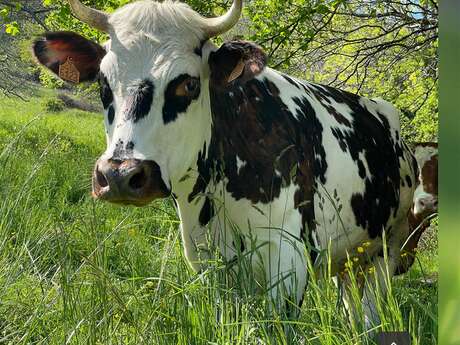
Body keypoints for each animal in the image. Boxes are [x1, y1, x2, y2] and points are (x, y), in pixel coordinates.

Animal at [32, 0, 418, 326]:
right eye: (103, 82)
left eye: (188, 84)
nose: (120, 174)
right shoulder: (207, 257)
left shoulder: (288, 259)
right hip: (350, 259)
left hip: (386, 249)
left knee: (371, 310)